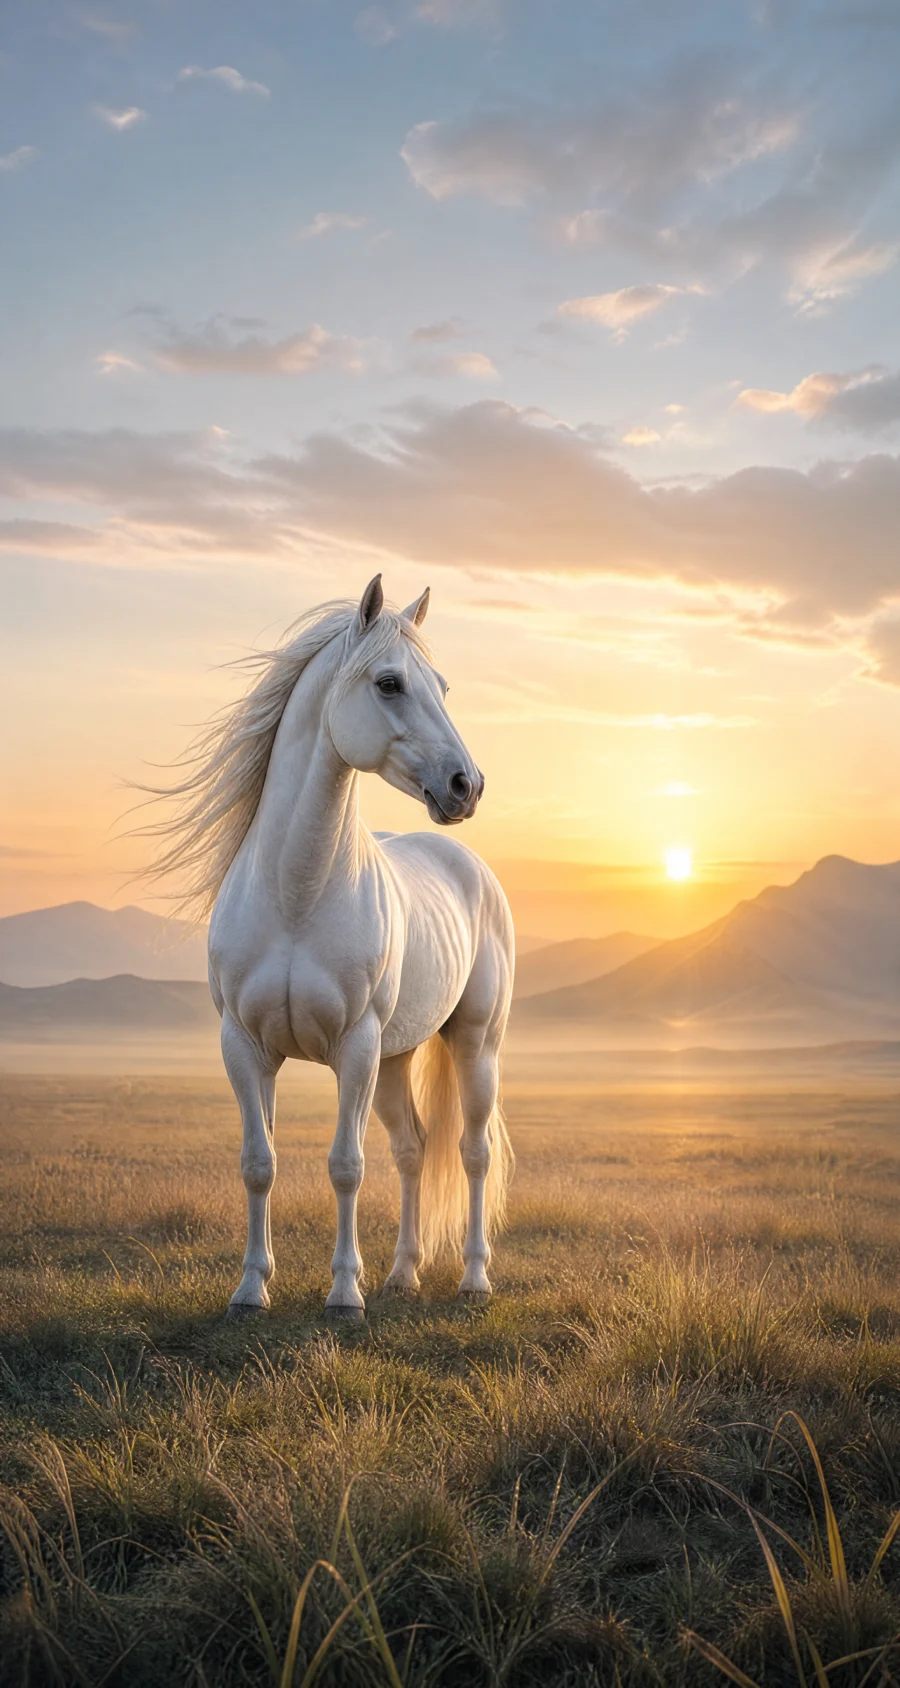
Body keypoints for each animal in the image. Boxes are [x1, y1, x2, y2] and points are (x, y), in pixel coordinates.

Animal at [147, 575, 514, 1321]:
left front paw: (345, 1294)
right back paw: (403, 1274)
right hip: (398, 1057)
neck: (297, 893)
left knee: (473, 1151)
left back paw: (473, 1279)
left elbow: (346, 1166)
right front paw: (251, 1288)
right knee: (412, 1149)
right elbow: (259, 1163)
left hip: (472, 1045)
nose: (467, 785)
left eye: (442, 686)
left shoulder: (356, 1047)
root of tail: (468, 865)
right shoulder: (246, 1048)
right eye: (390, 683)